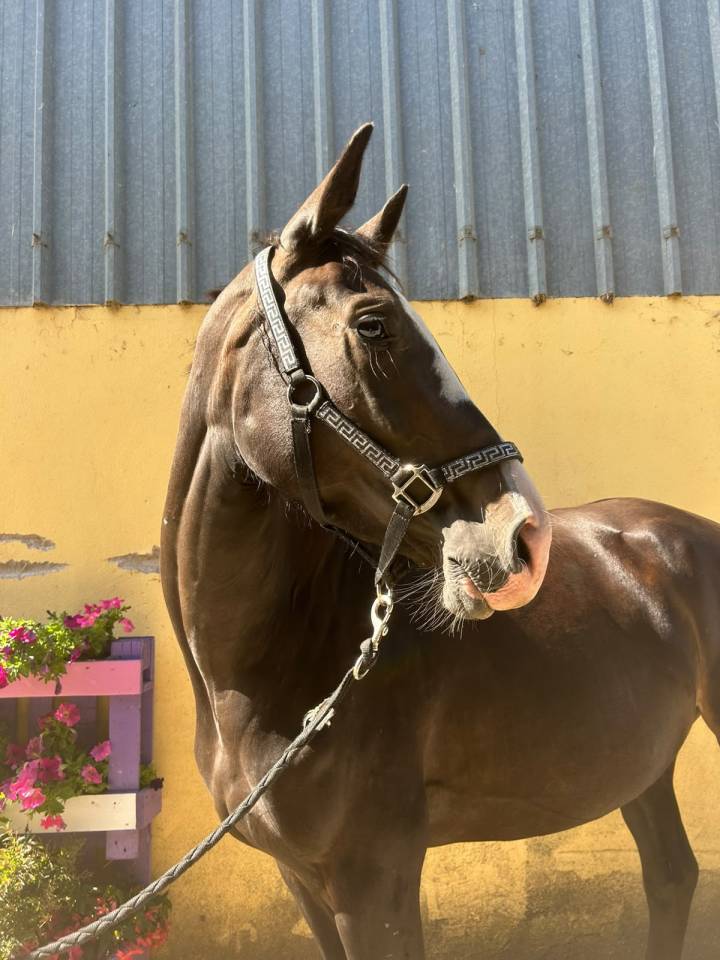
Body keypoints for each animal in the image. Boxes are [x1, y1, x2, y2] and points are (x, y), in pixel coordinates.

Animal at [161, 123, 720, 959]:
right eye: (373, 324)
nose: (526, 536)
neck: (261, 676)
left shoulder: (375, 879)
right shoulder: (304, 881)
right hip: (642, 764)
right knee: (671, 876)